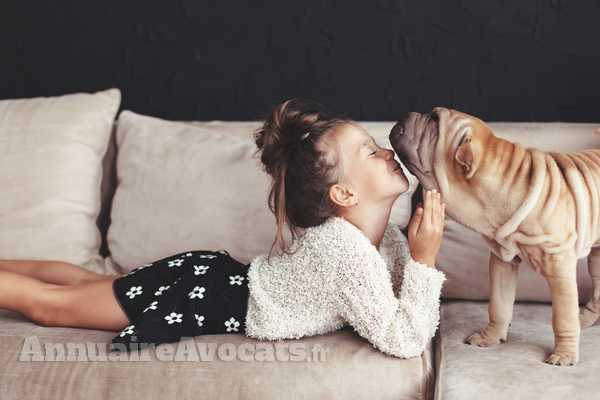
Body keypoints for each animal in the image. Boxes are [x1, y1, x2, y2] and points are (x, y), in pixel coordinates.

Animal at [392, 106, 600, 366]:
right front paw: (489, 338)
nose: (405, 114)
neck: (508, 182)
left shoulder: (559, 266)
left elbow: (563, 316)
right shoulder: (502, 260)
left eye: (434, 120)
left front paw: (564, 354)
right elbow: (499, 304)